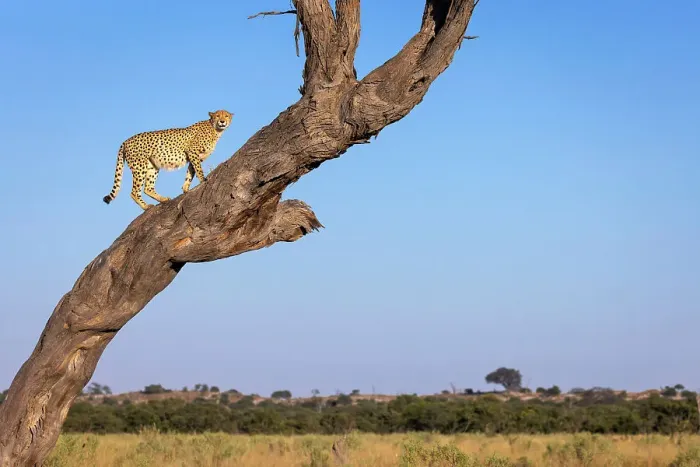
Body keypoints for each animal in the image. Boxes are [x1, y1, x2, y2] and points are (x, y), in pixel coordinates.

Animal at [103, 109, 233, 210]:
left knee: (148, 188)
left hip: (153, 166)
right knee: (134, 191)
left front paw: (185, 189)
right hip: (140, 167)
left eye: (226, 115)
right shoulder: (192, 152)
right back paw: (146, 206)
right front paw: (203, 180)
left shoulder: (195, 157)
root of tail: (125, 141)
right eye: (218, 116)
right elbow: (198, 170)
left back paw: (163, 199)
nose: (222, 121)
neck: (215, 129)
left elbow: (190, 172)